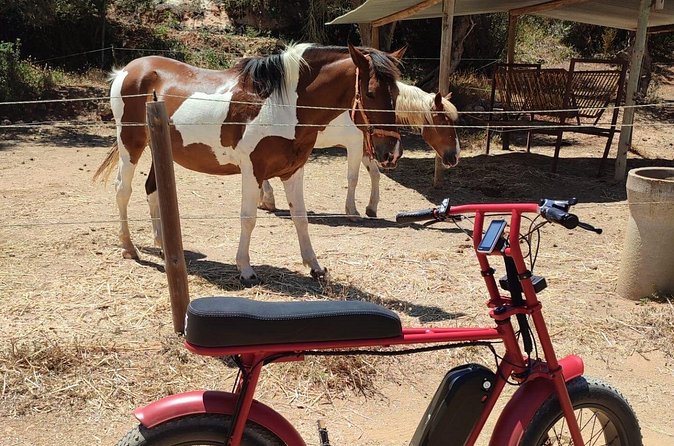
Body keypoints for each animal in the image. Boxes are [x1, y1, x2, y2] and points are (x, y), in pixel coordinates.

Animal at [94, 43, 404, 286]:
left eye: (397, 94)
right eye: (371, 93)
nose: (390, 152)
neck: (284, 106)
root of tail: (126, 70)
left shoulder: (293, 171)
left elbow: (301, 218)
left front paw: (315, 267)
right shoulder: (252, 171)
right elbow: (249, 218)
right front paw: (245, 269)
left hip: (161, 150)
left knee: (152, 190)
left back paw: (163, 245)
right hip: (131, 144)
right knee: (123, 191)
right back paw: (129, 248)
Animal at [259, 80, 459, 218]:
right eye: (444, 122)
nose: (455, 155)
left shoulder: (367, 149)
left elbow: (375, 175)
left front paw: (372, 208)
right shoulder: (355, 147)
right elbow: (353, 178)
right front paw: (352, 210)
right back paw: (268, 199)